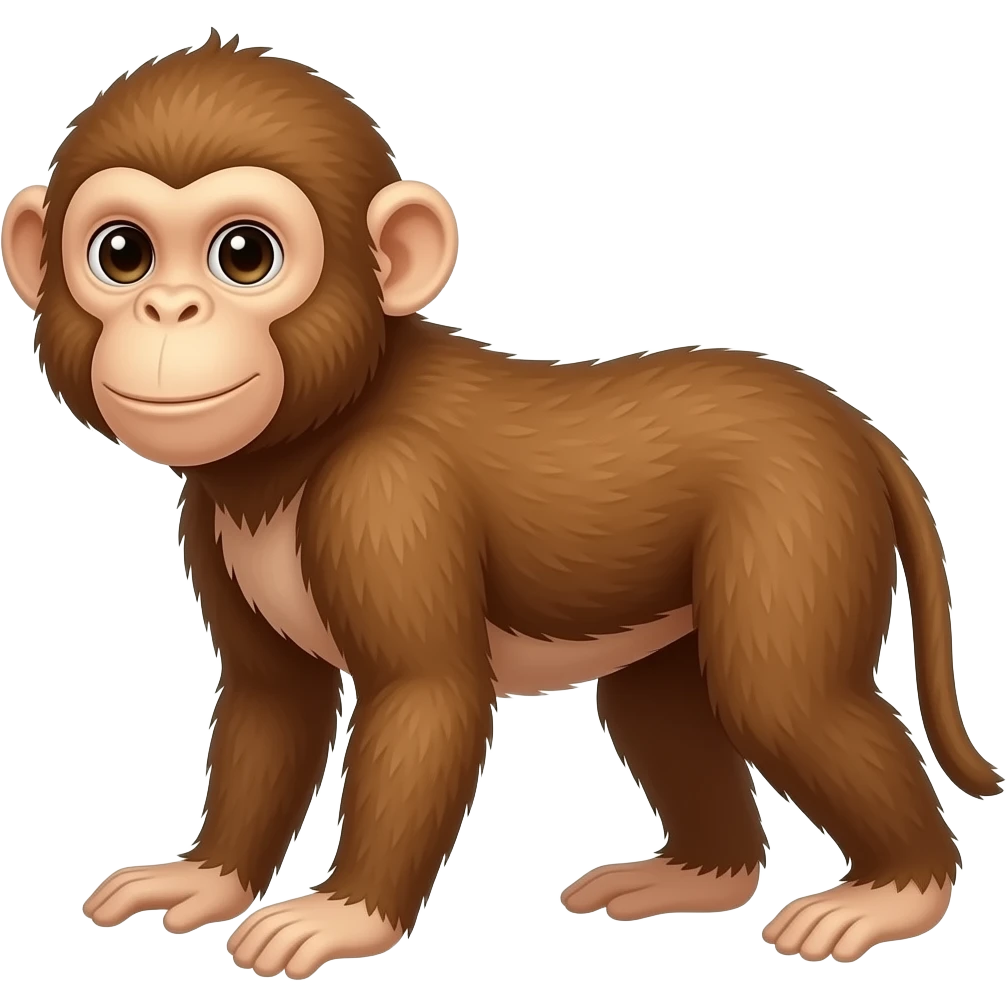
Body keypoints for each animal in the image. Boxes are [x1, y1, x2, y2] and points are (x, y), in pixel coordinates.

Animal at [3, 31, 999, 980]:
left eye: (243, 254)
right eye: (123, 254)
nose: (170, 308)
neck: (307, 440)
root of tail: (850, 424)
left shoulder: (388, 495)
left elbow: (426, 696)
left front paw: (344, 913)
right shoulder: (209, 518)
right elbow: (273, 701)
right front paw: (206, 875)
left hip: (799, 511)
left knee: (783, 696)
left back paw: (895, 890)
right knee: (659, 702)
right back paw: (699, 874)